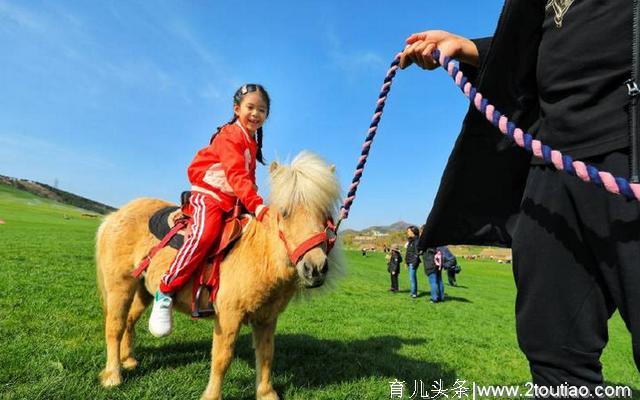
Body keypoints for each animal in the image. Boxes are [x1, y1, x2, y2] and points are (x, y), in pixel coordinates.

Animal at [94, 152, 342, 398]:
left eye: (325, 215)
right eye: (285, 213)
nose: (315, 268)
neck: (260, 254)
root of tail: (115, 216)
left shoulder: (266, 318)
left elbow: (266, 355)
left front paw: (266, 393)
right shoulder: (229, 316)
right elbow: (222, 358)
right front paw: (212, 395)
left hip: (143, 289)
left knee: (129, 320)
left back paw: (128, 360)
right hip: (120, 286)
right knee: (115, 326)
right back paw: (113, 376)